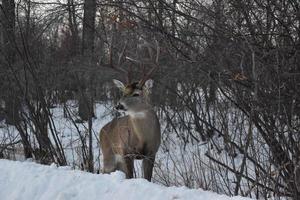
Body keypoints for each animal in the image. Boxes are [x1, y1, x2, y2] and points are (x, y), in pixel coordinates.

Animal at [99, 39, 161, 181]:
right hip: (108, 154)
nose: (118, 105)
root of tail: (102, 129)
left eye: (136, 94)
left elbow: (147, 178)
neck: (143, 138)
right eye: (124, 92)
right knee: (102, 171)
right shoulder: (126, 152)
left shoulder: (151, 153)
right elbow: (130, 176)